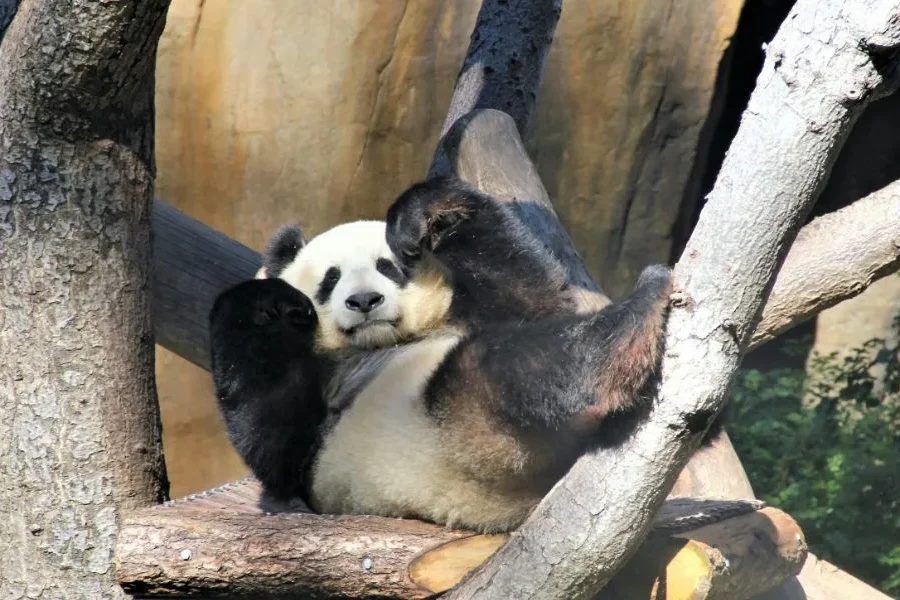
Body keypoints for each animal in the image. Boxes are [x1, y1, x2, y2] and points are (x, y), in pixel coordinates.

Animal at [209, 176, 676, 532]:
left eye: (389, 268)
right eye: (331, 279)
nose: (364, 301)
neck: (384, 343)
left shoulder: (470, 309)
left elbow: (535, 299)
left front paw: (425, 217)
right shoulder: (317, 429)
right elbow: (277, 445)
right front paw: (270, 303)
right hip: (468, 438)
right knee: (512, 369)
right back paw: (636, 317)